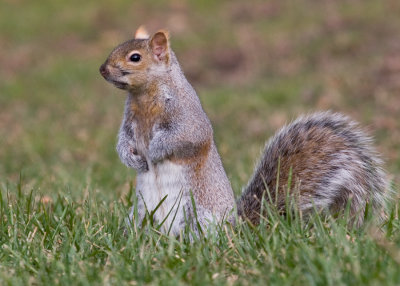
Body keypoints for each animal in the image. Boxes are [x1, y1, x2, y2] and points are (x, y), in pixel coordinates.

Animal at [98, 26, 390, 236]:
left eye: (135, 58)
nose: (102, 70)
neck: (145, 95)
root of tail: (236, 229)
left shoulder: (187, 119)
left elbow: (184, 139)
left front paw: (154, 152)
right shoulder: (129, 121)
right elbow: (123, 139)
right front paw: (131, 157)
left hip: (197, 216)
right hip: (139, 214)